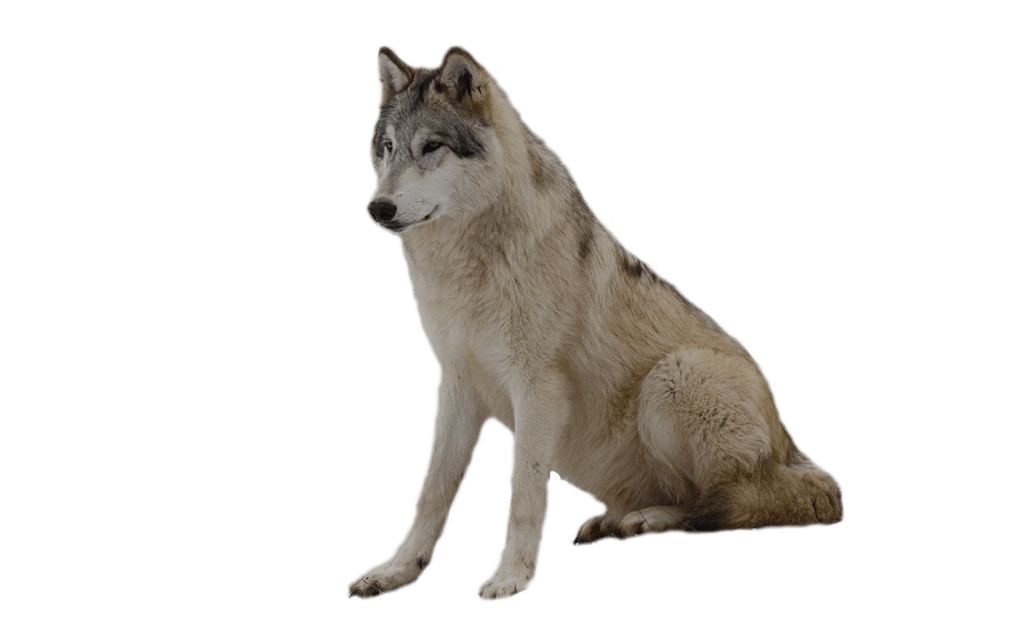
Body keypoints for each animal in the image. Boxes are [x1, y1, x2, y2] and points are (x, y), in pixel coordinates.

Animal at [347, 43, 845, 603]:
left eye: (431, 146)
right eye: (388, 148)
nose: (377, 207)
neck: (472, 263)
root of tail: (796, 450)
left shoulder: (537, 389)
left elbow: (523, 494)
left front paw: (510, 576)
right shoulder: (456, 385)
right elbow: (431, 492)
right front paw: (396, 570)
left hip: (673, 377)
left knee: (726, 504)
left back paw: (642, 520)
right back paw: (615, 520)